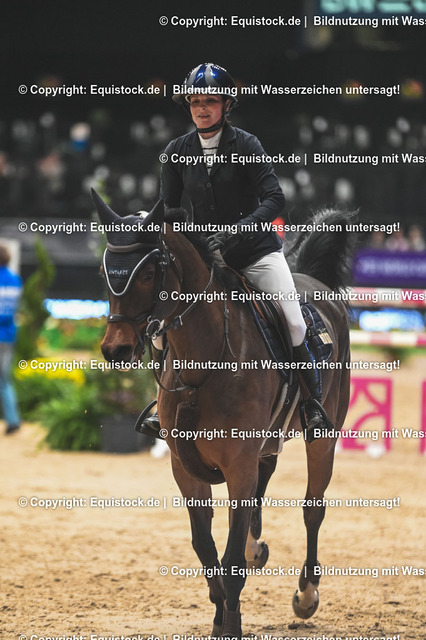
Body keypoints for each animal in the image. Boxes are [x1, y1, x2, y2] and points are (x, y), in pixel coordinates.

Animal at [92, 189, 355, 639]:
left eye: (148, 273)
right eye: (107, 270)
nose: (116, 350)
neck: (204, 363)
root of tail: (314, 282)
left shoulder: (238, 464)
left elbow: (229, 557)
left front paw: (230, 623)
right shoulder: (186, 469)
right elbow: (205, 547)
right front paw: (220, 611)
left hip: (322, 437)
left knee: (312, 508)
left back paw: (306, 594)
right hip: (266, 443)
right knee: (262, 490)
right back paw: (257, 550)